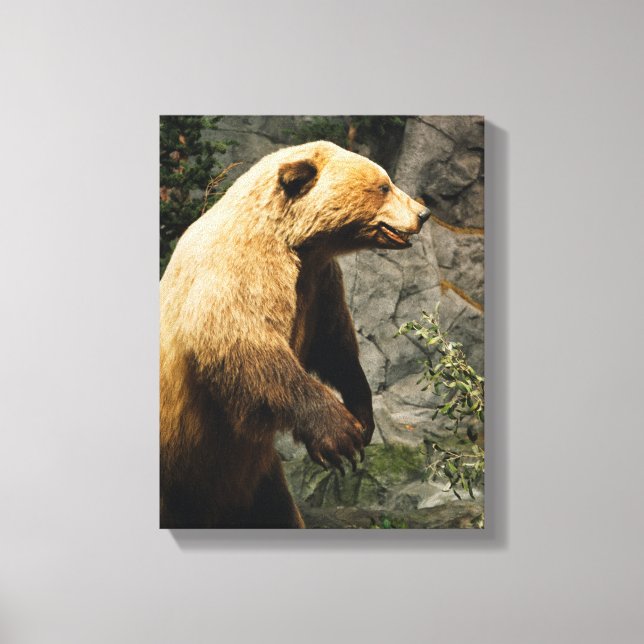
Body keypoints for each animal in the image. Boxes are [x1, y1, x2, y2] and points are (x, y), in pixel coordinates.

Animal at [160, 140, 430, 528]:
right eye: (383, 186)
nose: (423, 213)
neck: (297, 243)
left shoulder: (319, 285)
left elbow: (334, 346)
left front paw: (363, 416)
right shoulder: (240, 269)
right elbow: (247, 344)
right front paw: (340, 435)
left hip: (257, 479)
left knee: (275, 511)